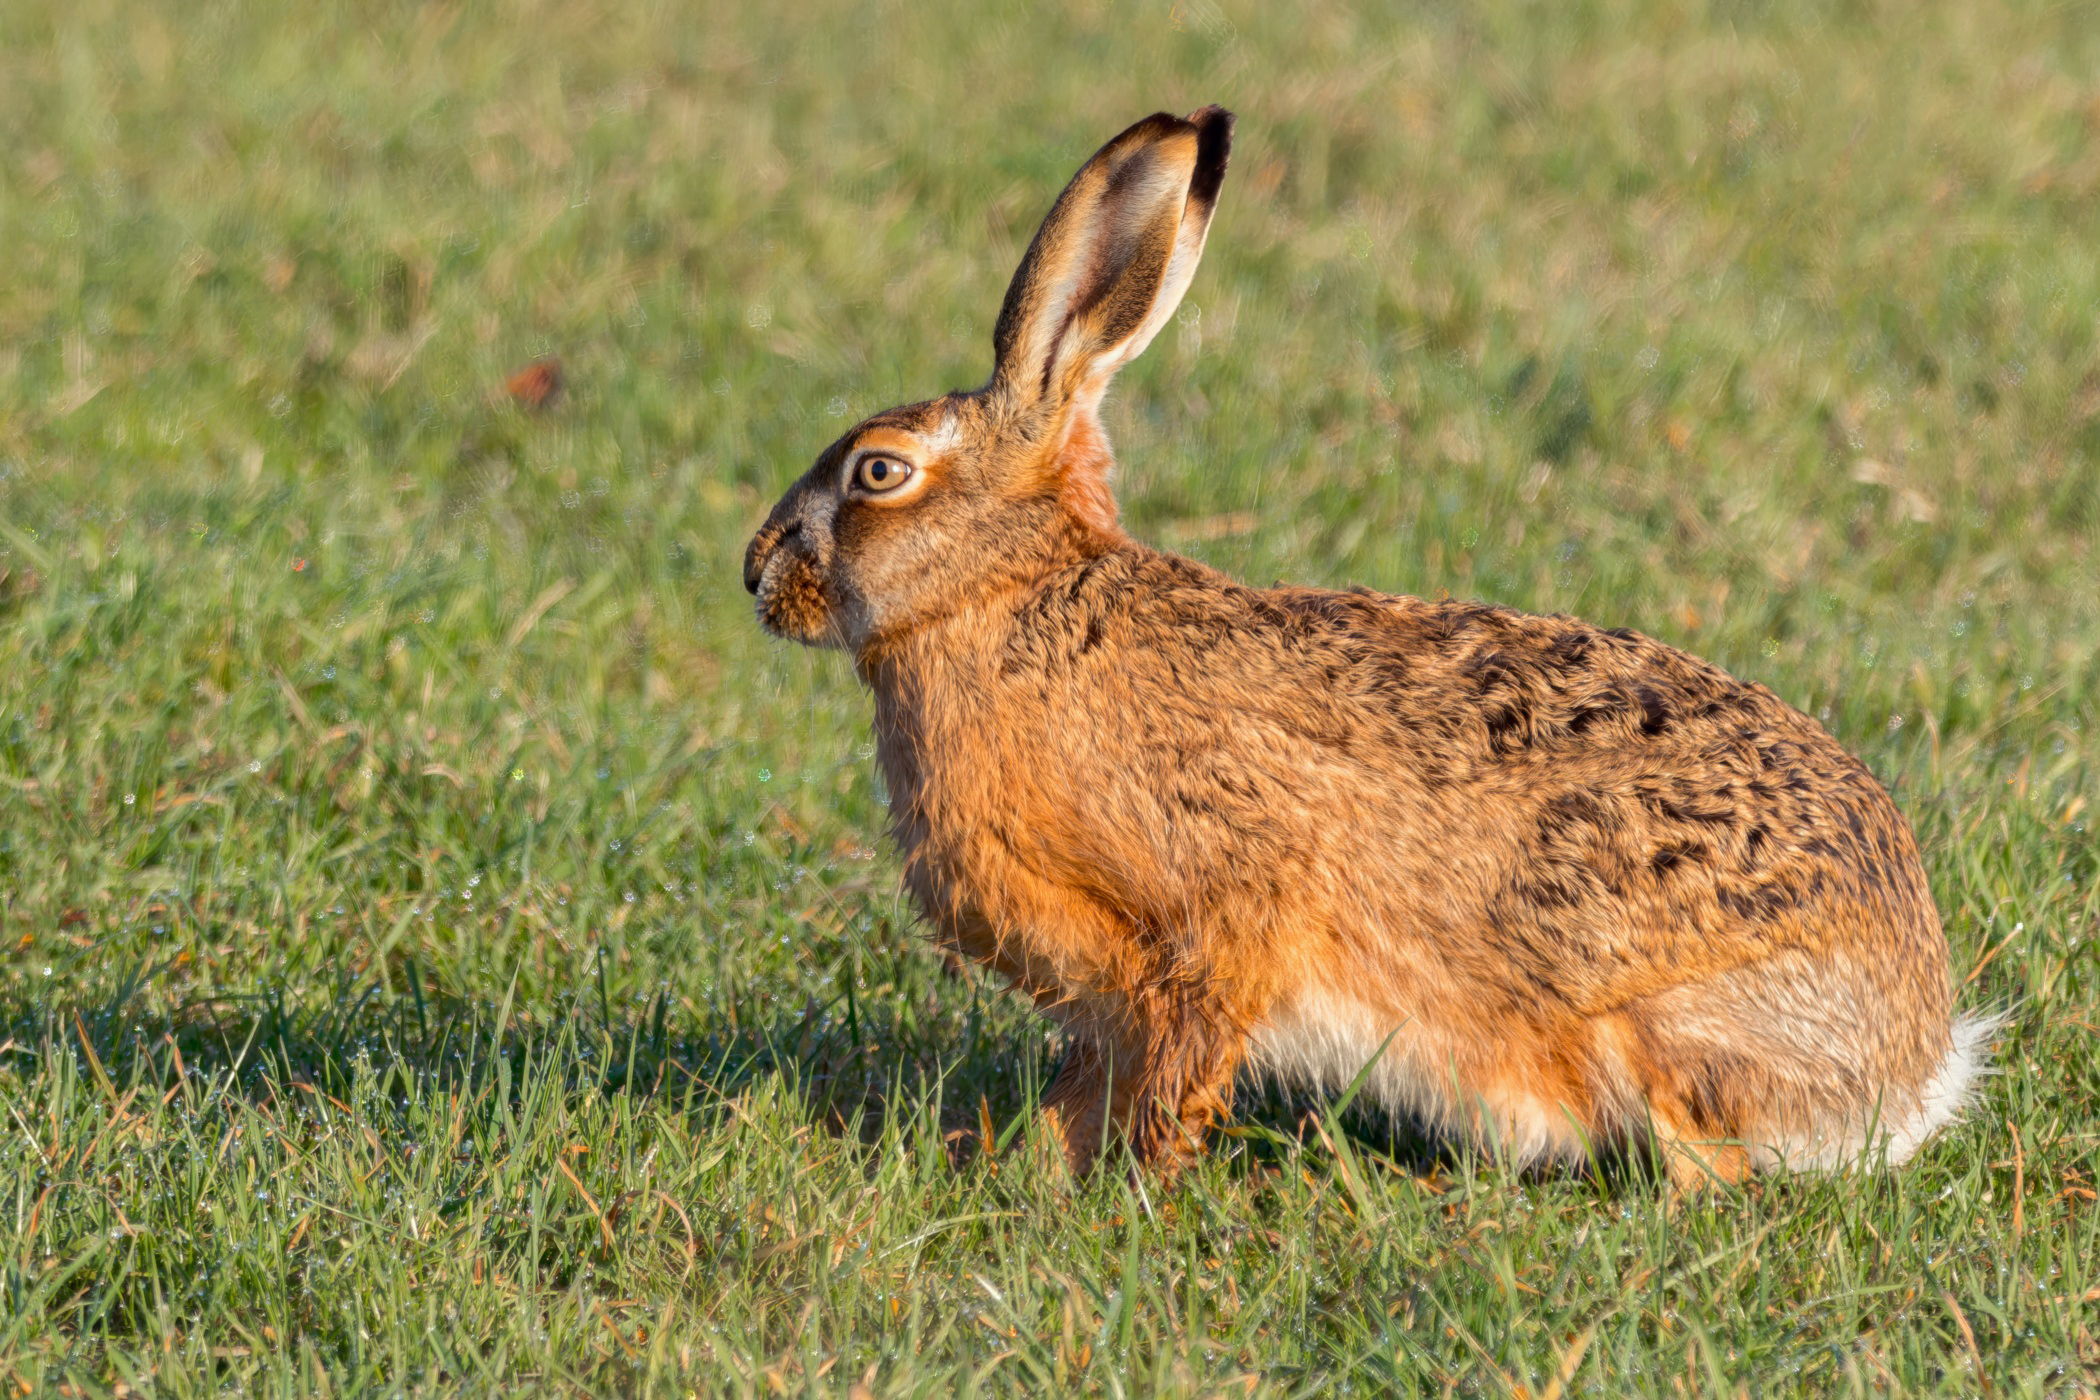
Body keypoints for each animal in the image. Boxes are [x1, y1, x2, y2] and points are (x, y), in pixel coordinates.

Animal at [742, 105, 1993, 1189]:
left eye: (878, 472)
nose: (756, 576)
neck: (1007, 596)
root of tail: (1913, 1060)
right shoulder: (1113, 995)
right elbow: (1089, 1084)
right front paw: (1019, 1164)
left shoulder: (1208, 924)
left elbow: (1171, 1067)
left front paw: (1123, 1185)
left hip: (1639, 1012)